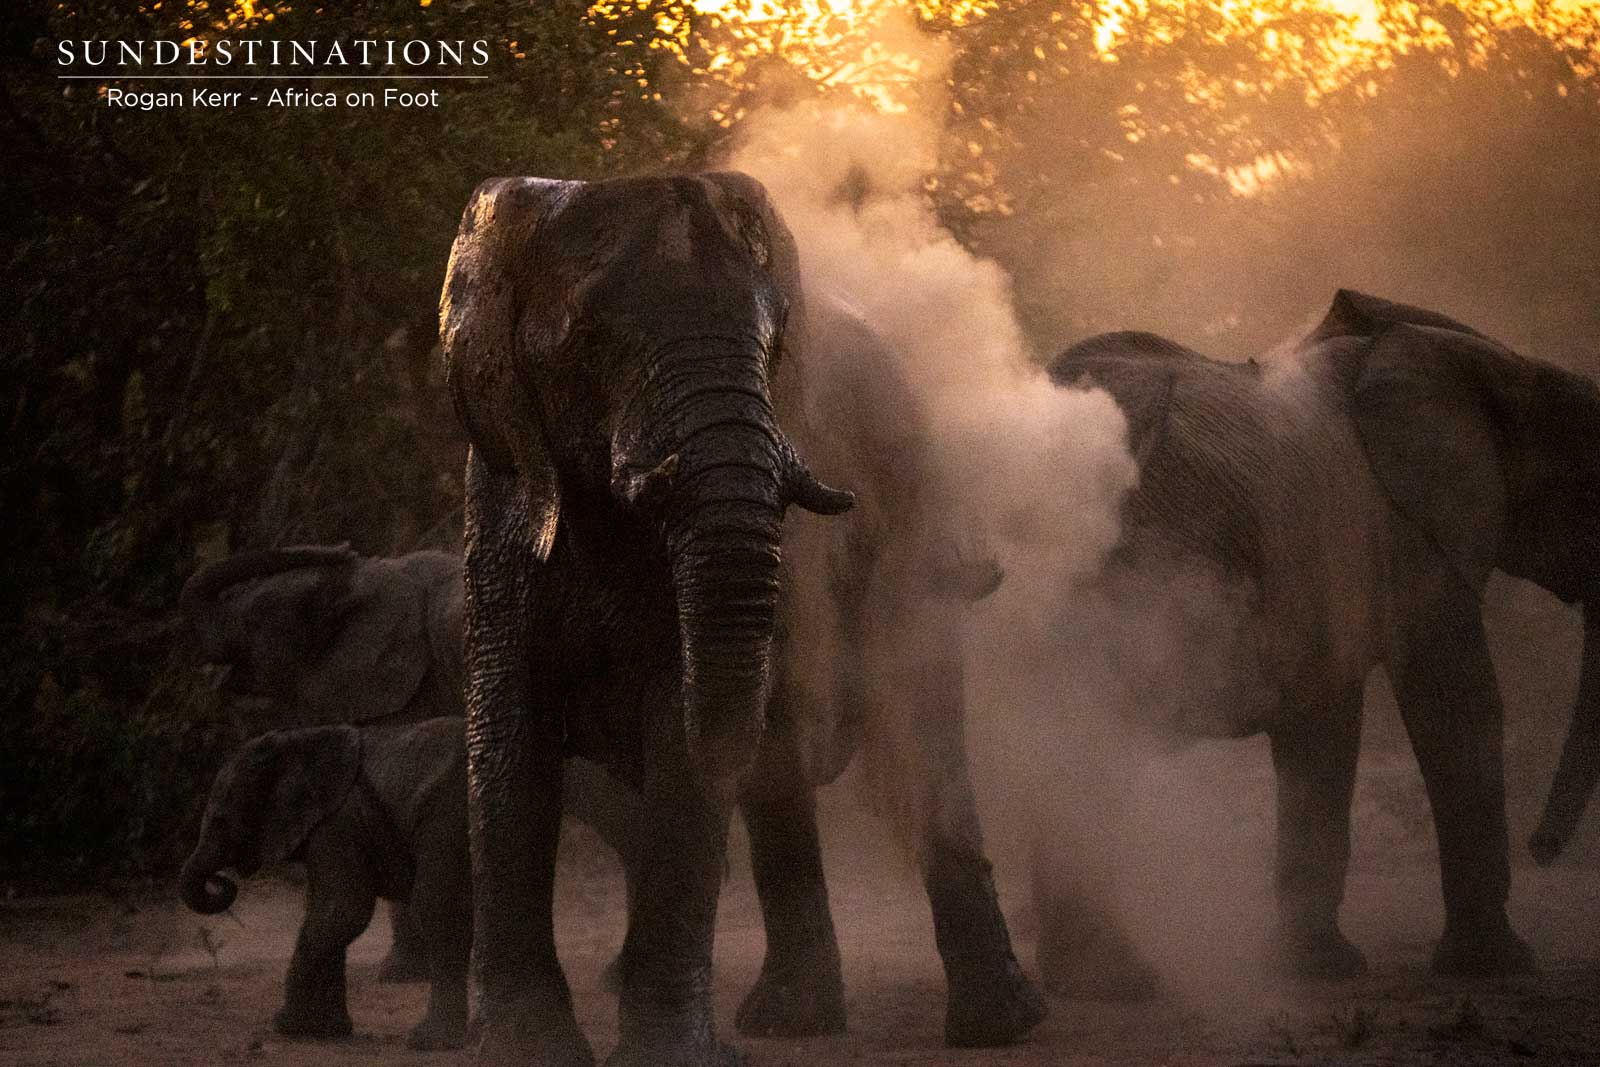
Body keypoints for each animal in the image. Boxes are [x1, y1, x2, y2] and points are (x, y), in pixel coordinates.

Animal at [441, 172, 1042, 1066]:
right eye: (591, 340)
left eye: (774, 341)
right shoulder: (505, 487)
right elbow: (510, 739)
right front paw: (527, 1048)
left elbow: (680, 732)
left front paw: (664, 1056)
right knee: (785, 773)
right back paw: (793, 1020)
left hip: (913, 503)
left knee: (920, 727)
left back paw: (996, 1025)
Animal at [1031, 289, 1599, 995]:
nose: (1543, 850)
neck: (1501, 362)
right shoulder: (1408, 536)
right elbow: (1457, 707)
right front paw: (1498, 968)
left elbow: (1323, 727)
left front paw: (1317, 969)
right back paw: (1116, 984)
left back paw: (1092, 984)